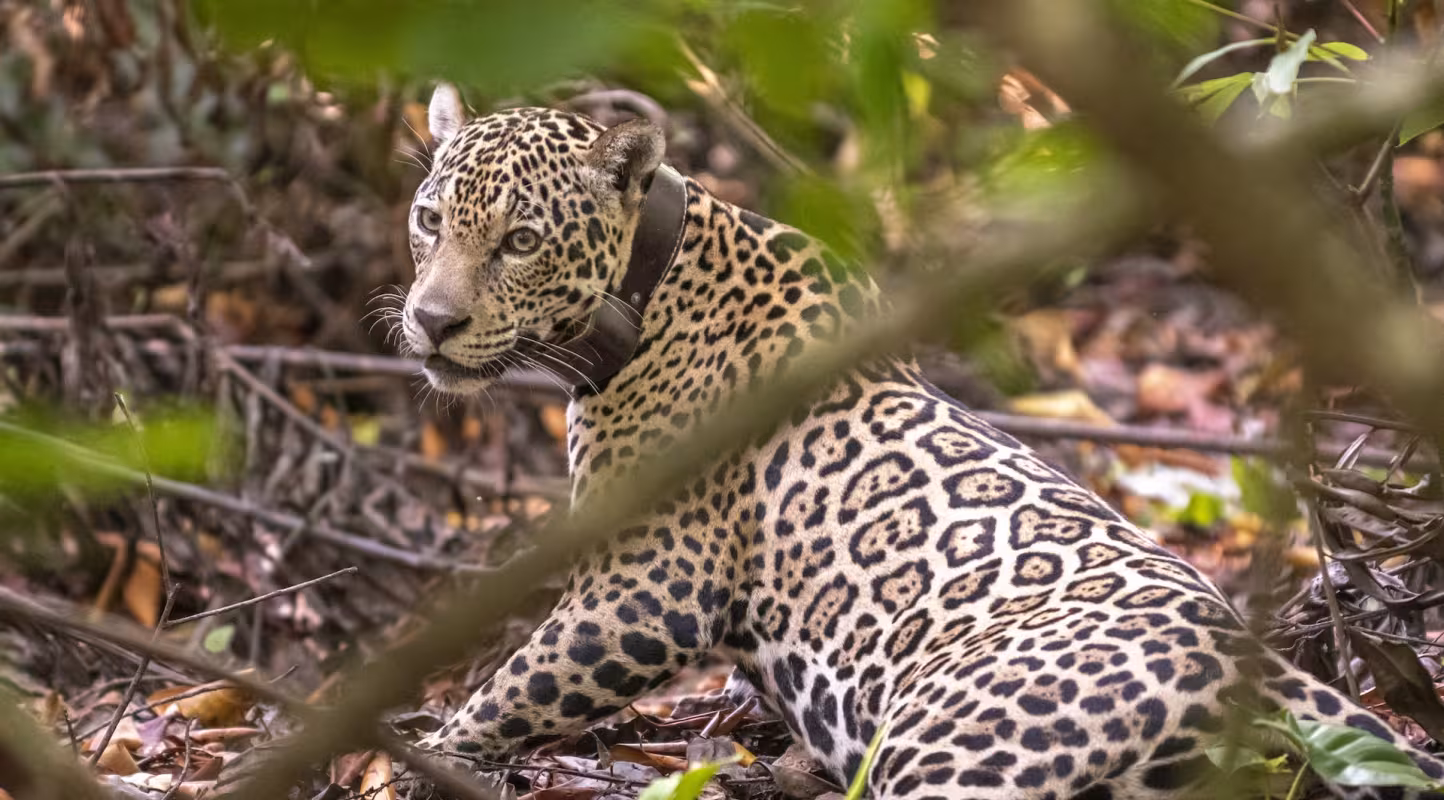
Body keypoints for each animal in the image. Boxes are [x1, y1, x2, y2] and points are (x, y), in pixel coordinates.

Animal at [395, 83, 1444, 799]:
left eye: (522, 241)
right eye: (429, 220)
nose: (431, 321)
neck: (645, 290)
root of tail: (1265, 666)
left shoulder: (647, 593)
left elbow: (509, 682)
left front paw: (420, 748)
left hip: (946, 745)